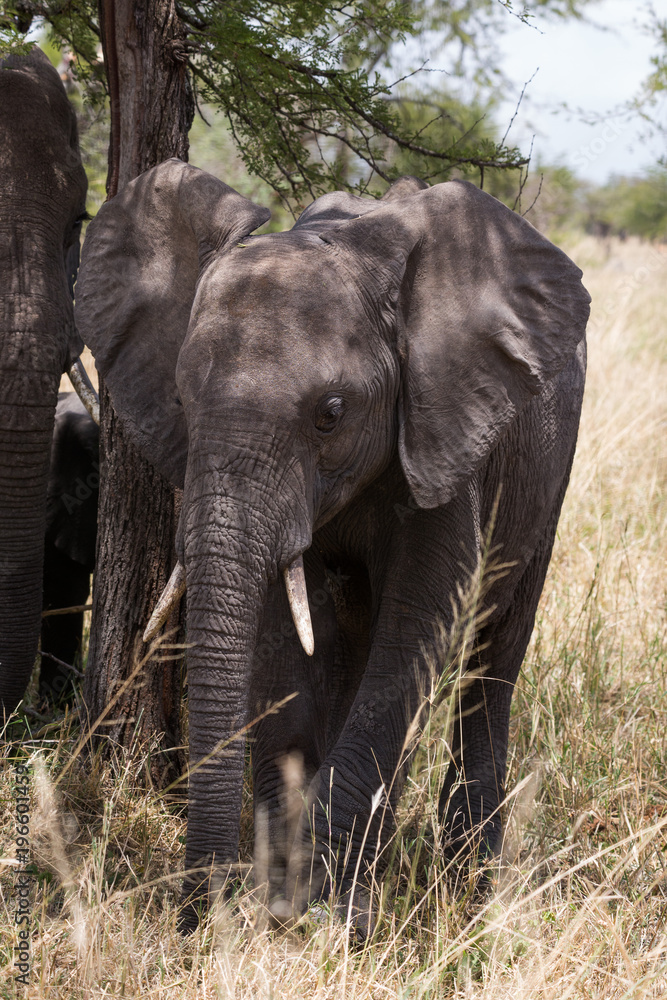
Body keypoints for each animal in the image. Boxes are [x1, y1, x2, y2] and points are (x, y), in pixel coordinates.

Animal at [75, 156, 592, 928]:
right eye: (182, 401)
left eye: (331, 413)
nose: (195, 917)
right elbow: (281, 633)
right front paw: (284, 896)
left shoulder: (439, 423)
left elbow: (424, 613)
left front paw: (332, 915)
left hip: (547, 461)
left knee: (492, 654)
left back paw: (468, 886)